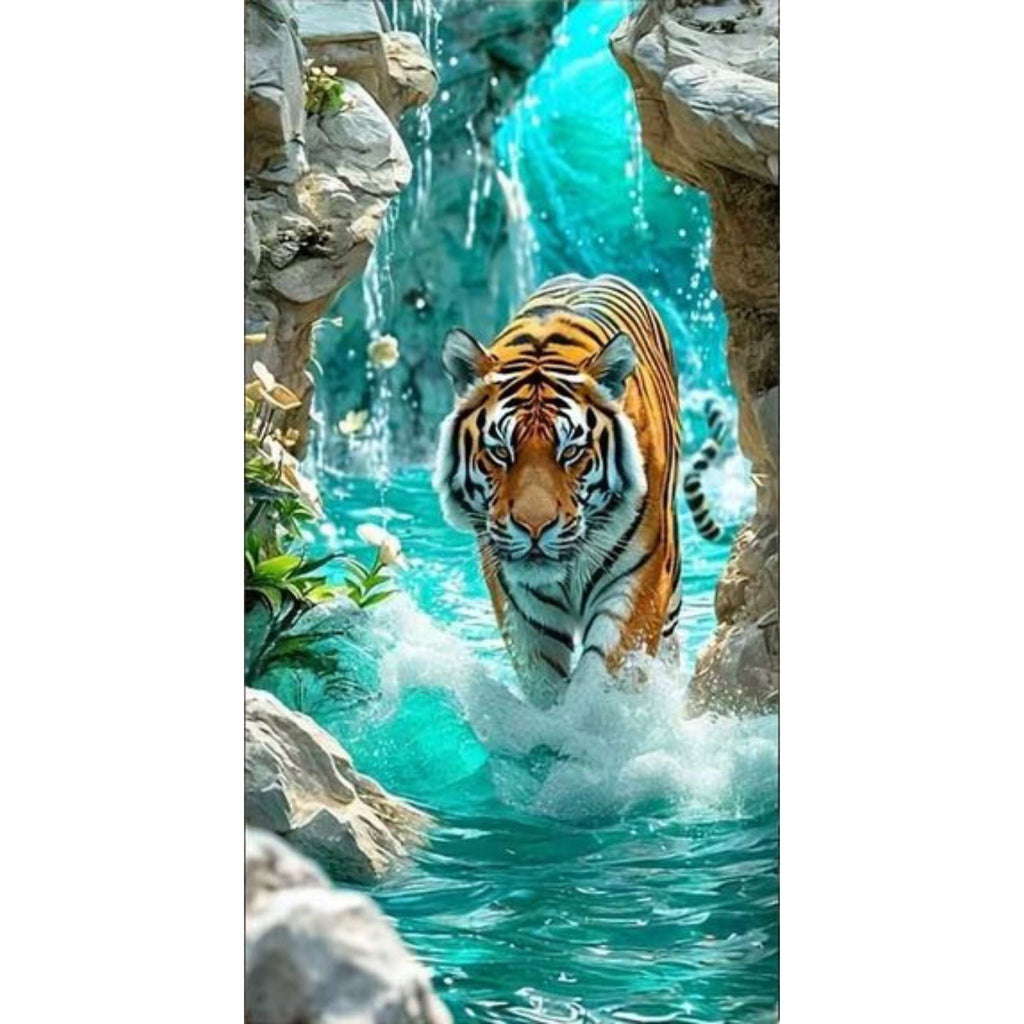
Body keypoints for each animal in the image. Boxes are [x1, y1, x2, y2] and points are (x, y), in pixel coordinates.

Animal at [433, 273, 681, 708]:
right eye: (501, 451)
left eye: (571, 452)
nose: (535, 529)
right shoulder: (519, 599)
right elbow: (544, 681)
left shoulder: (640, 581)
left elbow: (603, 678)